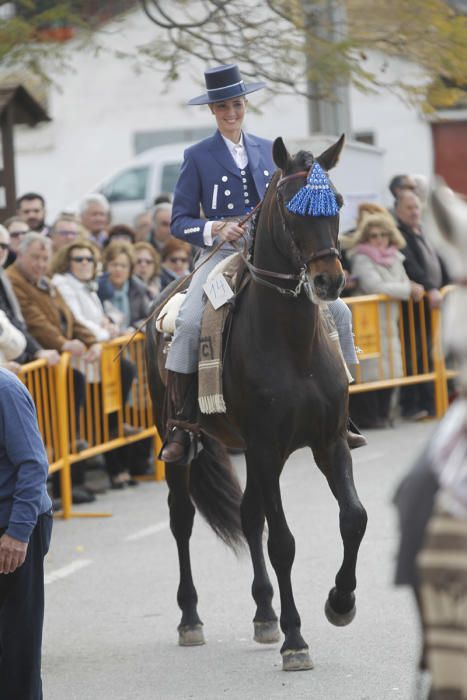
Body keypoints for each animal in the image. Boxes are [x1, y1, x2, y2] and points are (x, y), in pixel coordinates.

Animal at [146, 135, 370, 672]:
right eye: (292, 208)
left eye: (337, 203)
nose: (330, 282)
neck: (294, 345)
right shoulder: (268, 450)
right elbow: (284, 542)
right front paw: (296, 640)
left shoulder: (328, 443)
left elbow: (353, 518)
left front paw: (340, 603)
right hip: (179, 443)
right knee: (182, 519)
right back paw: (191, 619)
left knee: (250, 517)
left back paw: (265, 614)